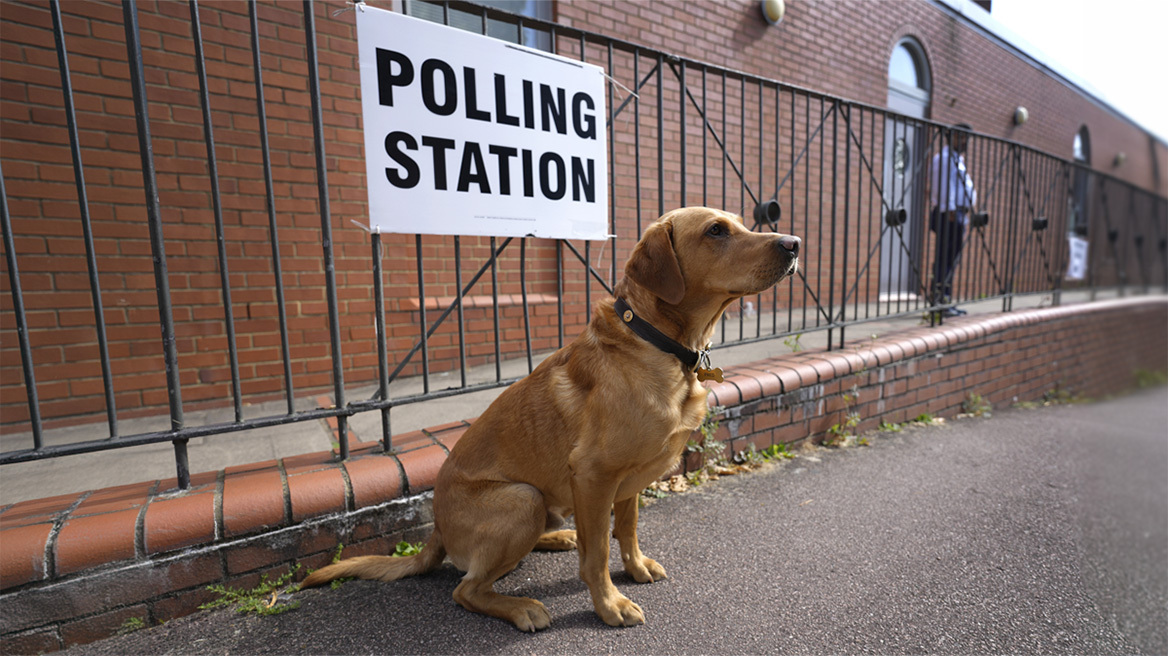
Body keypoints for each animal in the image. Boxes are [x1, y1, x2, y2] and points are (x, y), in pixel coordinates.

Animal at [301, 207, 798, 630]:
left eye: (741, 222)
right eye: (716, 231)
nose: (794, 243)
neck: (659, 344)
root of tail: (437, 530)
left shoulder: (627, 483)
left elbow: (627, 531)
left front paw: (635, 568)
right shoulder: (595, 476)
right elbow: (598, 555)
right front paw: (610, 605)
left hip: (541, 502)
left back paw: (557, 538)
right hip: (522, 498)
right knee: (467, 589)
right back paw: (521, 607)